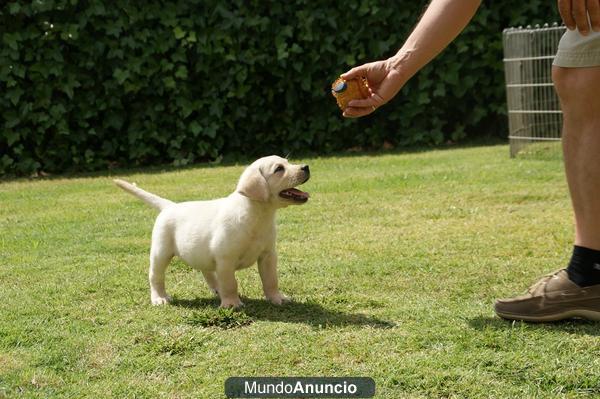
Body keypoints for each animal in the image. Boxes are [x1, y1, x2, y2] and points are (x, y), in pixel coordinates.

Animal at [113, 156, 310, 310]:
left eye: (288, 162)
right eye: (279, 169)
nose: (306, 167)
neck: (257, 215)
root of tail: (170, 206)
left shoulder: (268, 255)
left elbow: (271, 280)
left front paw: (277, 298)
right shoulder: (225, 259)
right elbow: (230, 283)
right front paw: (231, 303)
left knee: (206, 271)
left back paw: (216, 289)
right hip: (160, 252)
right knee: (156, 276)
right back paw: (159, 298)